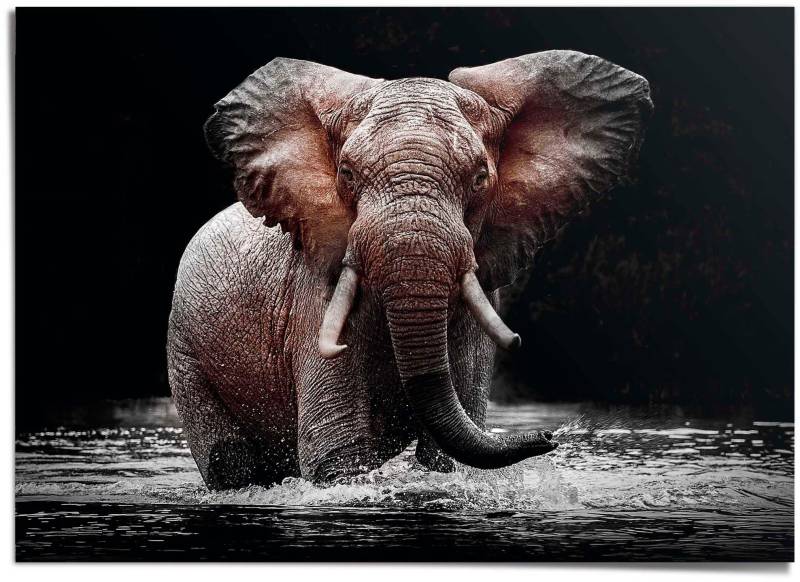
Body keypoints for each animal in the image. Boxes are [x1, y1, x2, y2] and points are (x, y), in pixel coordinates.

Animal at [167, 51, 652, 490]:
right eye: (346, 174)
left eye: (480, 178)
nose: (551, 435)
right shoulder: (314, 295)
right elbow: (337, 454)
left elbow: (446, 457)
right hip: (185, 351)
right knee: (228, 463)